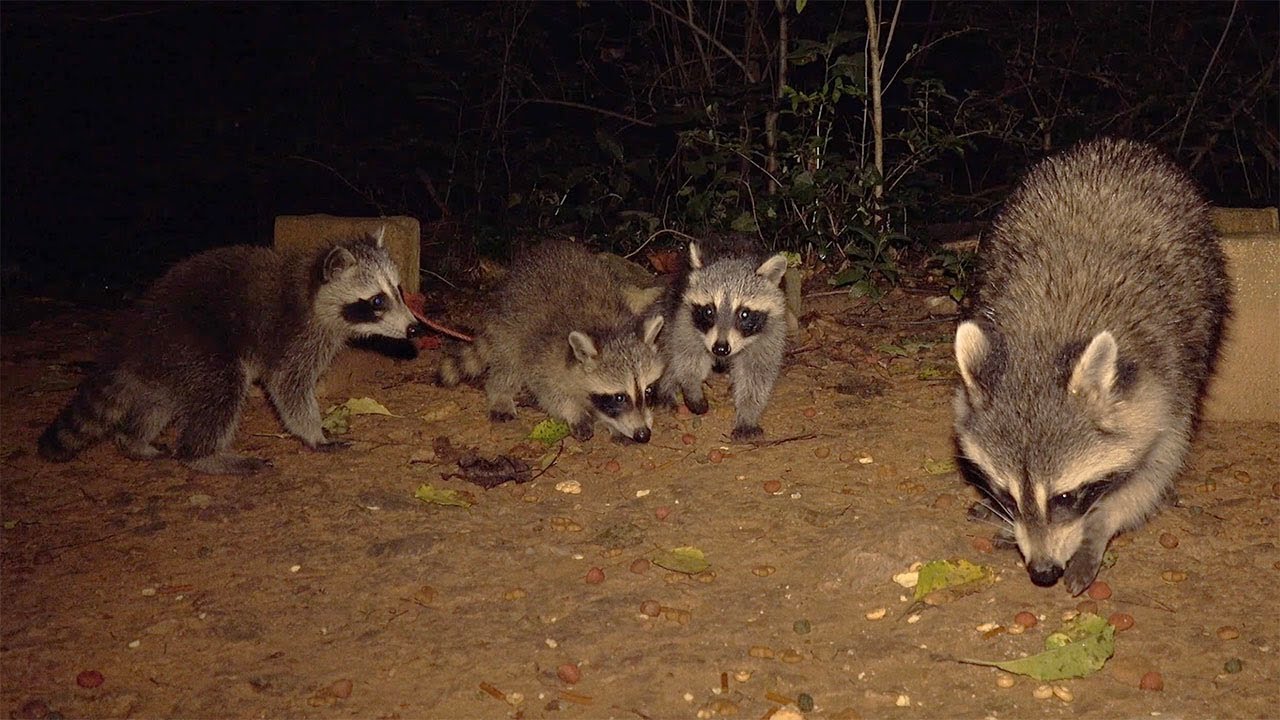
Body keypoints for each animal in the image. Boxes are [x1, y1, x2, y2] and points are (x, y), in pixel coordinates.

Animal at [39, 227, 426, 475]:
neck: (312, 290)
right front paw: (314, 433)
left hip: (171, 360)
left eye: (398, 290)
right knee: (221, 391)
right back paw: (202, 455)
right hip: (195, 344)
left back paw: (134, 440)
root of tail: (134, 338)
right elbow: (288, 387)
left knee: (159, 402)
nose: (414, 328)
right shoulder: (294, 336)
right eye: (376, 301)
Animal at [438, 241, 664, 443]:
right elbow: (549, 392)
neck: (609, 329)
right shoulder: (544, 356)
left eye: (648, 391)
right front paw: (573, 411)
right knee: (508, 363)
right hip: (510, 323)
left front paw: (613, 424)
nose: (643, 435)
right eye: (619, 397)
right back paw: (500, 393)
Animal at [657, 241, 788, 441]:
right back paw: (666, 385)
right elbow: (687, 356)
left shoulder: (770, 330)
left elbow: (756, 375)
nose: (720, 349)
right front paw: (691, 388)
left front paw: (748, 412)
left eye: (744, 314)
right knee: (668, 345)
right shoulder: (686, 316)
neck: (733, 256)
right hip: (672, 301)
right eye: (709, 311)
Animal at [952, 138, 1231, 595]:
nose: (1042, 572)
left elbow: (1155, 469)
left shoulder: (1167, 384)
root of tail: (1118, 145)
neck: (1046, 335)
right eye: (1008, 495)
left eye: (1065, 497)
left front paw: (1099, 525)